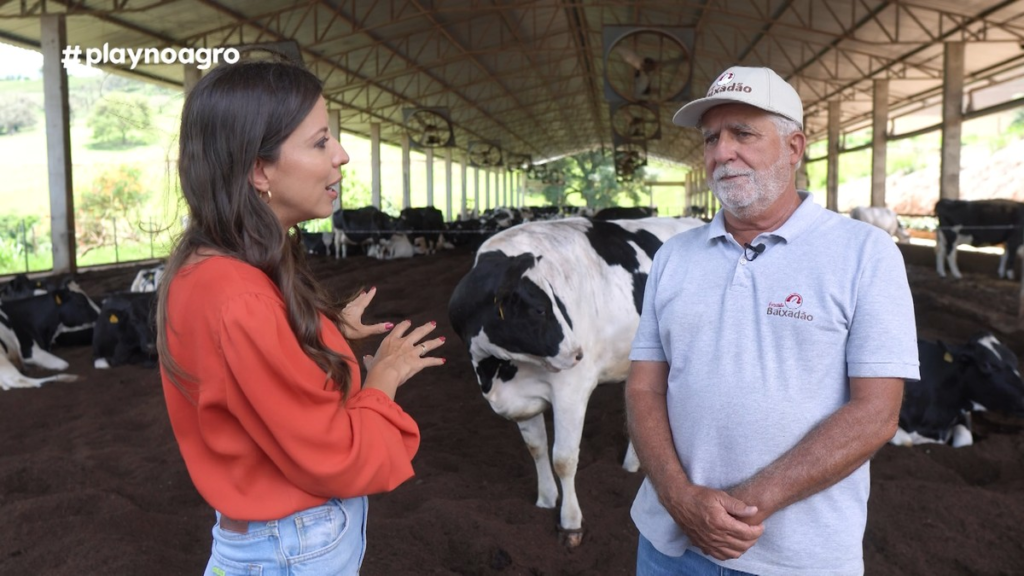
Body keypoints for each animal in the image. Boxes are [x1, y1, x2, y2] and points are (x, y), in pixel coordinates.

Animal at [448, 214, 704, 541]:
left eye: (558, 303)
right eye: (539, 308)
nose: (578, 353)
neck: (496, 371)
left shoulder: (572, 390)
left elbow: (564, 458)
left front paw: (570, 522)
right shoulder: (521, 399)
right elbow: (536, 448)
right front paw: (545, 500)